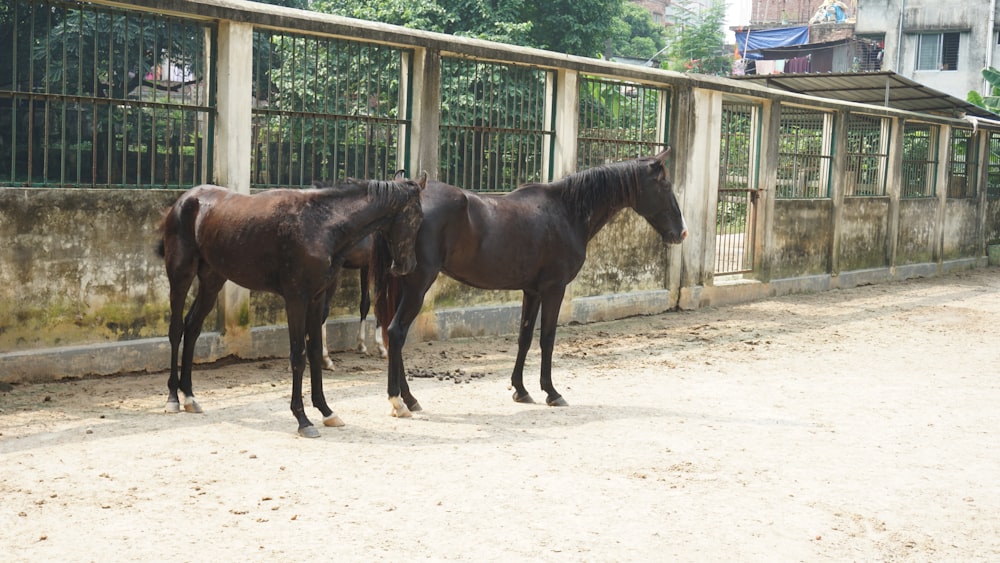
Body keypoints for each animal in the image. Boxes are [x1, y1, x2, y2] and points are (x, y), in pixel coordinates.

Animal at [158, 174, 424, 438]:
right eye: (418, 216)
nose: (408, 266)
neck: (320, 224)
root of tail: (184, 200)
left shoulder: (316, 298)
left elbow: (314, 350)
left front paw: (326, 411)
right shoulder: (296, 299)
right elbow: (298, 354)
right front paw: (303, 419)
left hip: (212, 279)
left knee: (192, 327)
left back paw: (189, 396)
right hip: (181, 276)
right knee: (176, 330)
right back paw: (173, 398)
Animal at [376, 148, 688, 416]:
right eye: (664, 185)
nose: (681, 232)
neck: (567, 211)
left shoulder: (532, 291)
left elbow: (524, 337)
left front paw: (521, 390)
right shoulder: (554, 289)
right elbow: (547, 338)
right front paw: (552, 392)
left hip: (404, 285)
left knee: (394, 336)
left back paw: (409, 398)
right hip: (418, 286)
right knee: (396, 332)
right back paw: (398, 401)